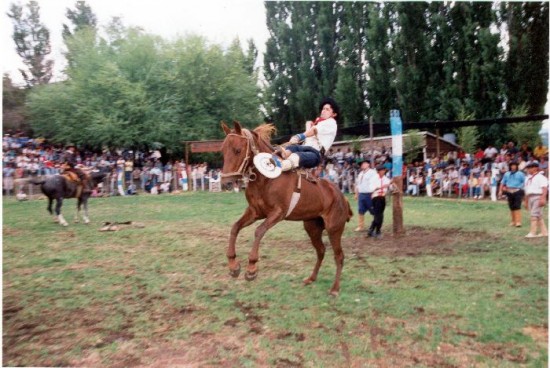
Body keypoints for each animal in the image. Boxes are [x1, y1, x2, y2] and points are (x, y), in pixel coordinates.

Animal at [221, 121, 354, 296]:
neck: (266, 179)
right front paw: (233, 266)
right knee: (321, 250)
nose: (226, 183)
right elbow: (235, 227)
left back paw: (334, 289)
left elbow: (259, 231)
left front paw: (251, 269)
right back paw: (311, 278)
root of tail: (342, 197)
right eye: (223, 150)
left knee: (339, 256)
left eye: (237, 150)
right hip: (312, 227)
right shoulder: (254, 212)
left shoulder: (278, 213)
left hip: (334, 229)